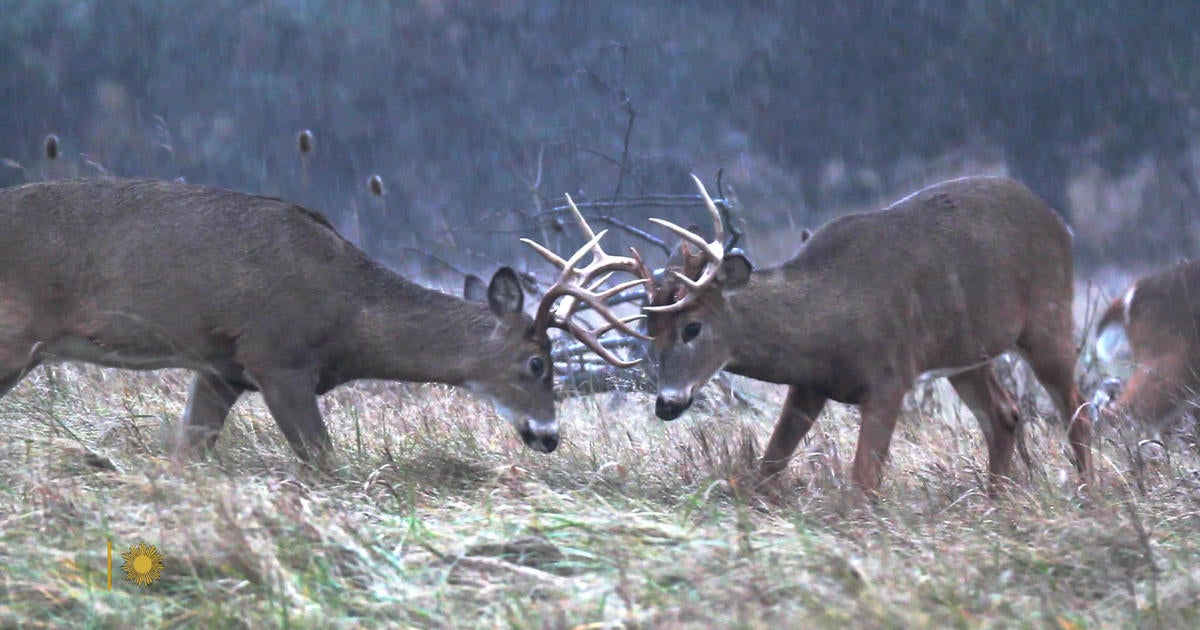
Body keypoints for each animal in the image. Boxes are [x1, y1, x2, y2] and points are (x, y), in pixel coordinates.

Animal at [0, 176, 643, 460]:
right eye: (536, 362)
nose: (549, 437)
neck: (348, 313)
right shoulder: (277, 357)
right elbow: (324, 461)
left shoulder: (221, 368)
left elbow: (188, 451)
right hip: (14, 331)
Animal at [643, 174, 1094, 494]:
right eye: (649, 331)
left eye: (692, 327)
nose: (665, 404)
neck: (828, 318)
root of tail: (1062, 224)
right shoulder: (809, 384)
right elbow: (769, 466)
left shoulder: (890, 376)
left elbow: (863, 480)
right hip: (966, 352)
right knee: (1004, 413)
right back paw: (994, 501)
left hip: (1049, 317)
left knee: (1078, 406)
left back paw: (1087, 491)